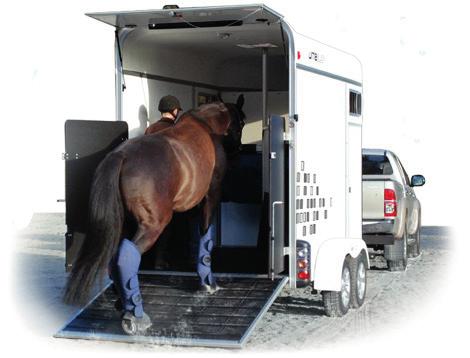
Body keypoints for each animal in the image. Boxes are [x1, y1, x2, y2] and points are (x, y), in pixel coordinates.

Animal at [65, 97, 246, 332]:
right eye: (242, 123)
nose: (239, 149)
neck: (205, 126)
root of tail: (121, 156)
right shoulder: (210, 196)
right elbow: (205, 235)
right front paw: (207, 282)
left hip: (125, 223)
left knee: (115, 256)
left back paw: (122, 302)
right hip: (153, 224)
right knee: (126, 255)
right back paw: (136, 315)